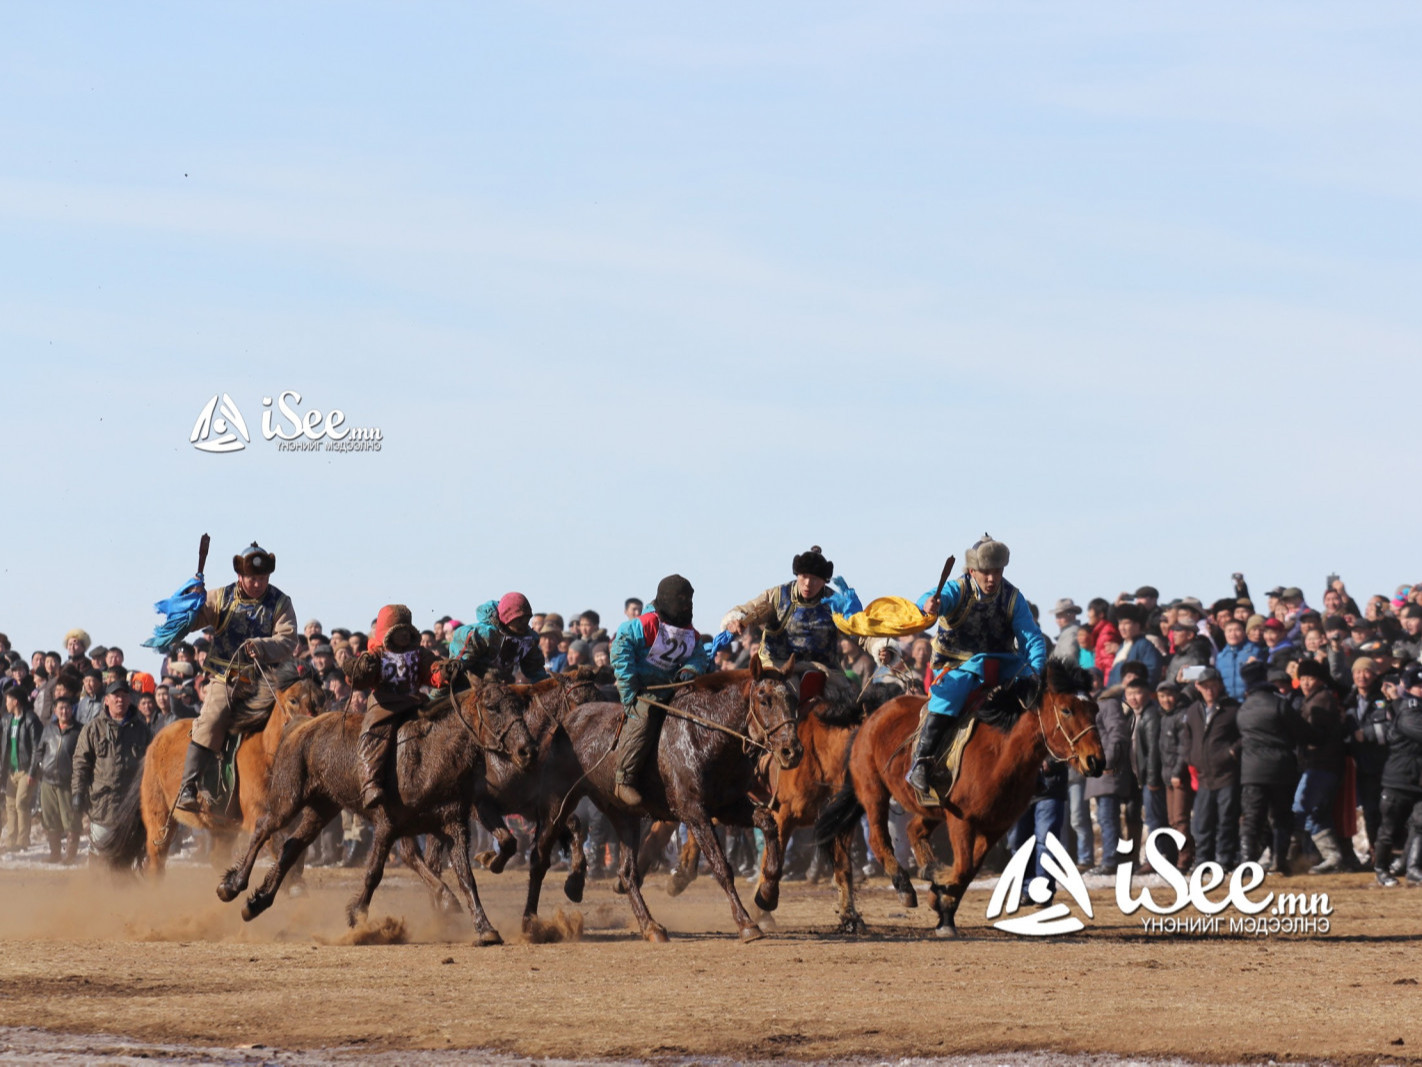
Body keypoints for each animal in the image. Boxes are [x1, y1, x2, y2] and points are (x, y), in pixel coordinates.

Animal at [99, 677, 325, 876]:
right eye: (293, 700)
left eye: (321, 700)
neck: (266, 752)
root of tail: (155, 741)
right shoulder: (258, 813)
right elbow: (277, 845)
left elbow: (294, 851)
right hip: (159, 816)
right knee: (156, 861)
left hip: (221, 826)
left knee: (217, 858)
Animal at [216, 677, 534, 944]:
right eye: (492, 707)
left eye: (520, 705)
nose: (526, 750)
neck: (429, 754)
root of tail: (299, 725)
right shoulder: (387, 824)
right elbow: (374, 872)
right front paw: (357, 915)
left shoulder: (453, 826)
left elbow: (467, 878)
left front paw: (486, 928)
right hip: (288, 799)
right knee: (263, 829)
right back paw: (231, 887)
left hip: (322, 808)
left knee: (292, 846)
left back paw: (256, 903)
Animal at [557, 660, 807, 944]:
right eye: (764, 700)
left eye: (794, 698)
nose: (792, 751)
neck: (704, 734)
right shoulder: (694, 813)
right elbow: (722, 867)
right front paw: (746, 924)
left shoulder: (729, 806)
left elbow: (768, 823)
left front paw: (767, 895)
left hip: (623, 815)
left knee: (626, 872)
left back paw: (649, 926)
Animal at [819, 657, 1103, 938]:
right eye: (1066, 710)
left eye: (1095, 709)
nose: (1096, 760)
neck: (1000, 753)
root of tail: (873, 713)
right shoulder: (962, 821)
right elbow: (964, 866)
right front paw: (939, 889)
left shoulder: (994, 826)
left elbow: (970, 870)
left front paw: (943, 905)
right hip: (873, 790)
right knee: (878, 839)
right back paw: (904, 886)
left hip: (930, 807)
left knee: (913, 830)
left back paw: (926, 871)